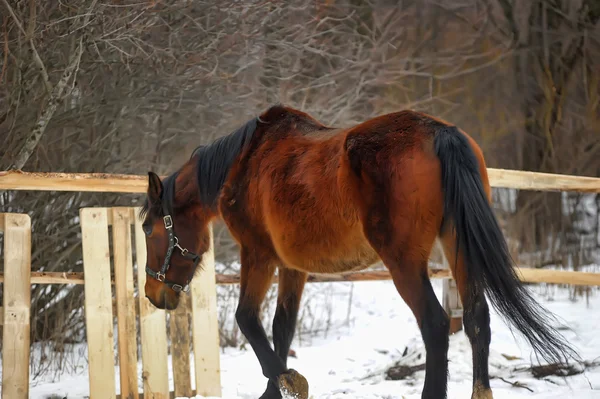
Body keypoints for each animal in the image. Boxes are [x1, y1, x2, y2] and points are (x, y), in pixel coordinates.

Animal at [139, 104, 576, 398]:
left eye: (146, 228)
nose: (153, 293)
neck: (245, 163)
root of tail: (440, 134)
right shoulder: (292, 267)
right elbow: (282, 328)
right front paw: (277, 387)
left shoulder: (258, 254)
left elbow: (247, 319)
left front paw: (289, 381)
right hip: (458, 246)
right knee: (476, 319)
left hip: (404, 261)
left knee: (435, 324)